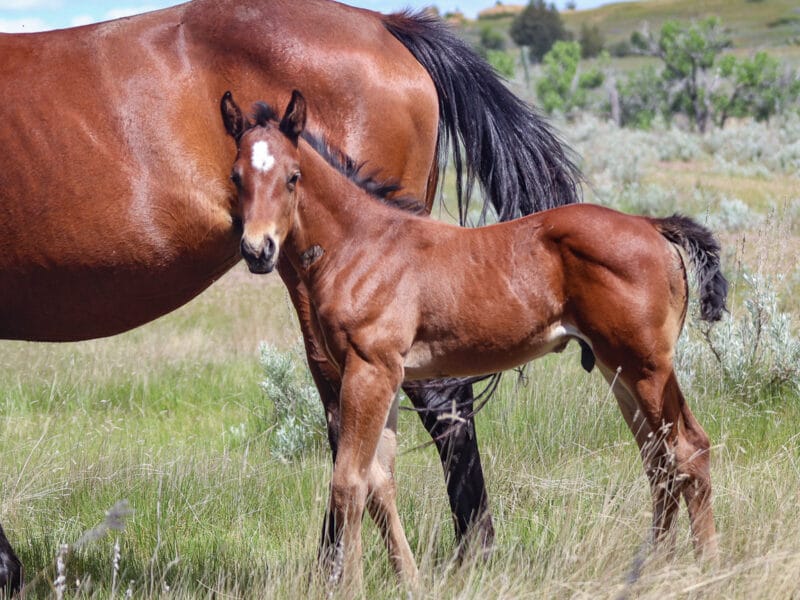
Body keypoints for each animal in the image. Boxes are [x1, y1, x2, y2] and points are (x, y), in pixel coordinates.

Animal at [0, 0, 580, 592]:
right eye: (235, 176)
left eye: (289, 177)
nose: (255, 245)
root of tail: (387, 25)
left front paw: (8, 571)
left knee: (409, 418)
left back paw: (433, 559)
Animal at [222, 92, 728, 584]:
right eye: (236, 176)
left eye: (293, 177)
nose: (258, 249)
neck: (362, 244)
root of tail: (652, 224)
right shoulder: (385, 375)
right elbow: (380, 481)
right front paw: (411, 582)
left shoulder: (370, 370)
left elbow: (350, 480)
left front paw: (351, 587)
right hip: (617, 368)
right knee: (657, 459)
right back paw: (652, 566)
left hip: (647, 366)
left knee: (688, 449)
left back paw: (706, 567)